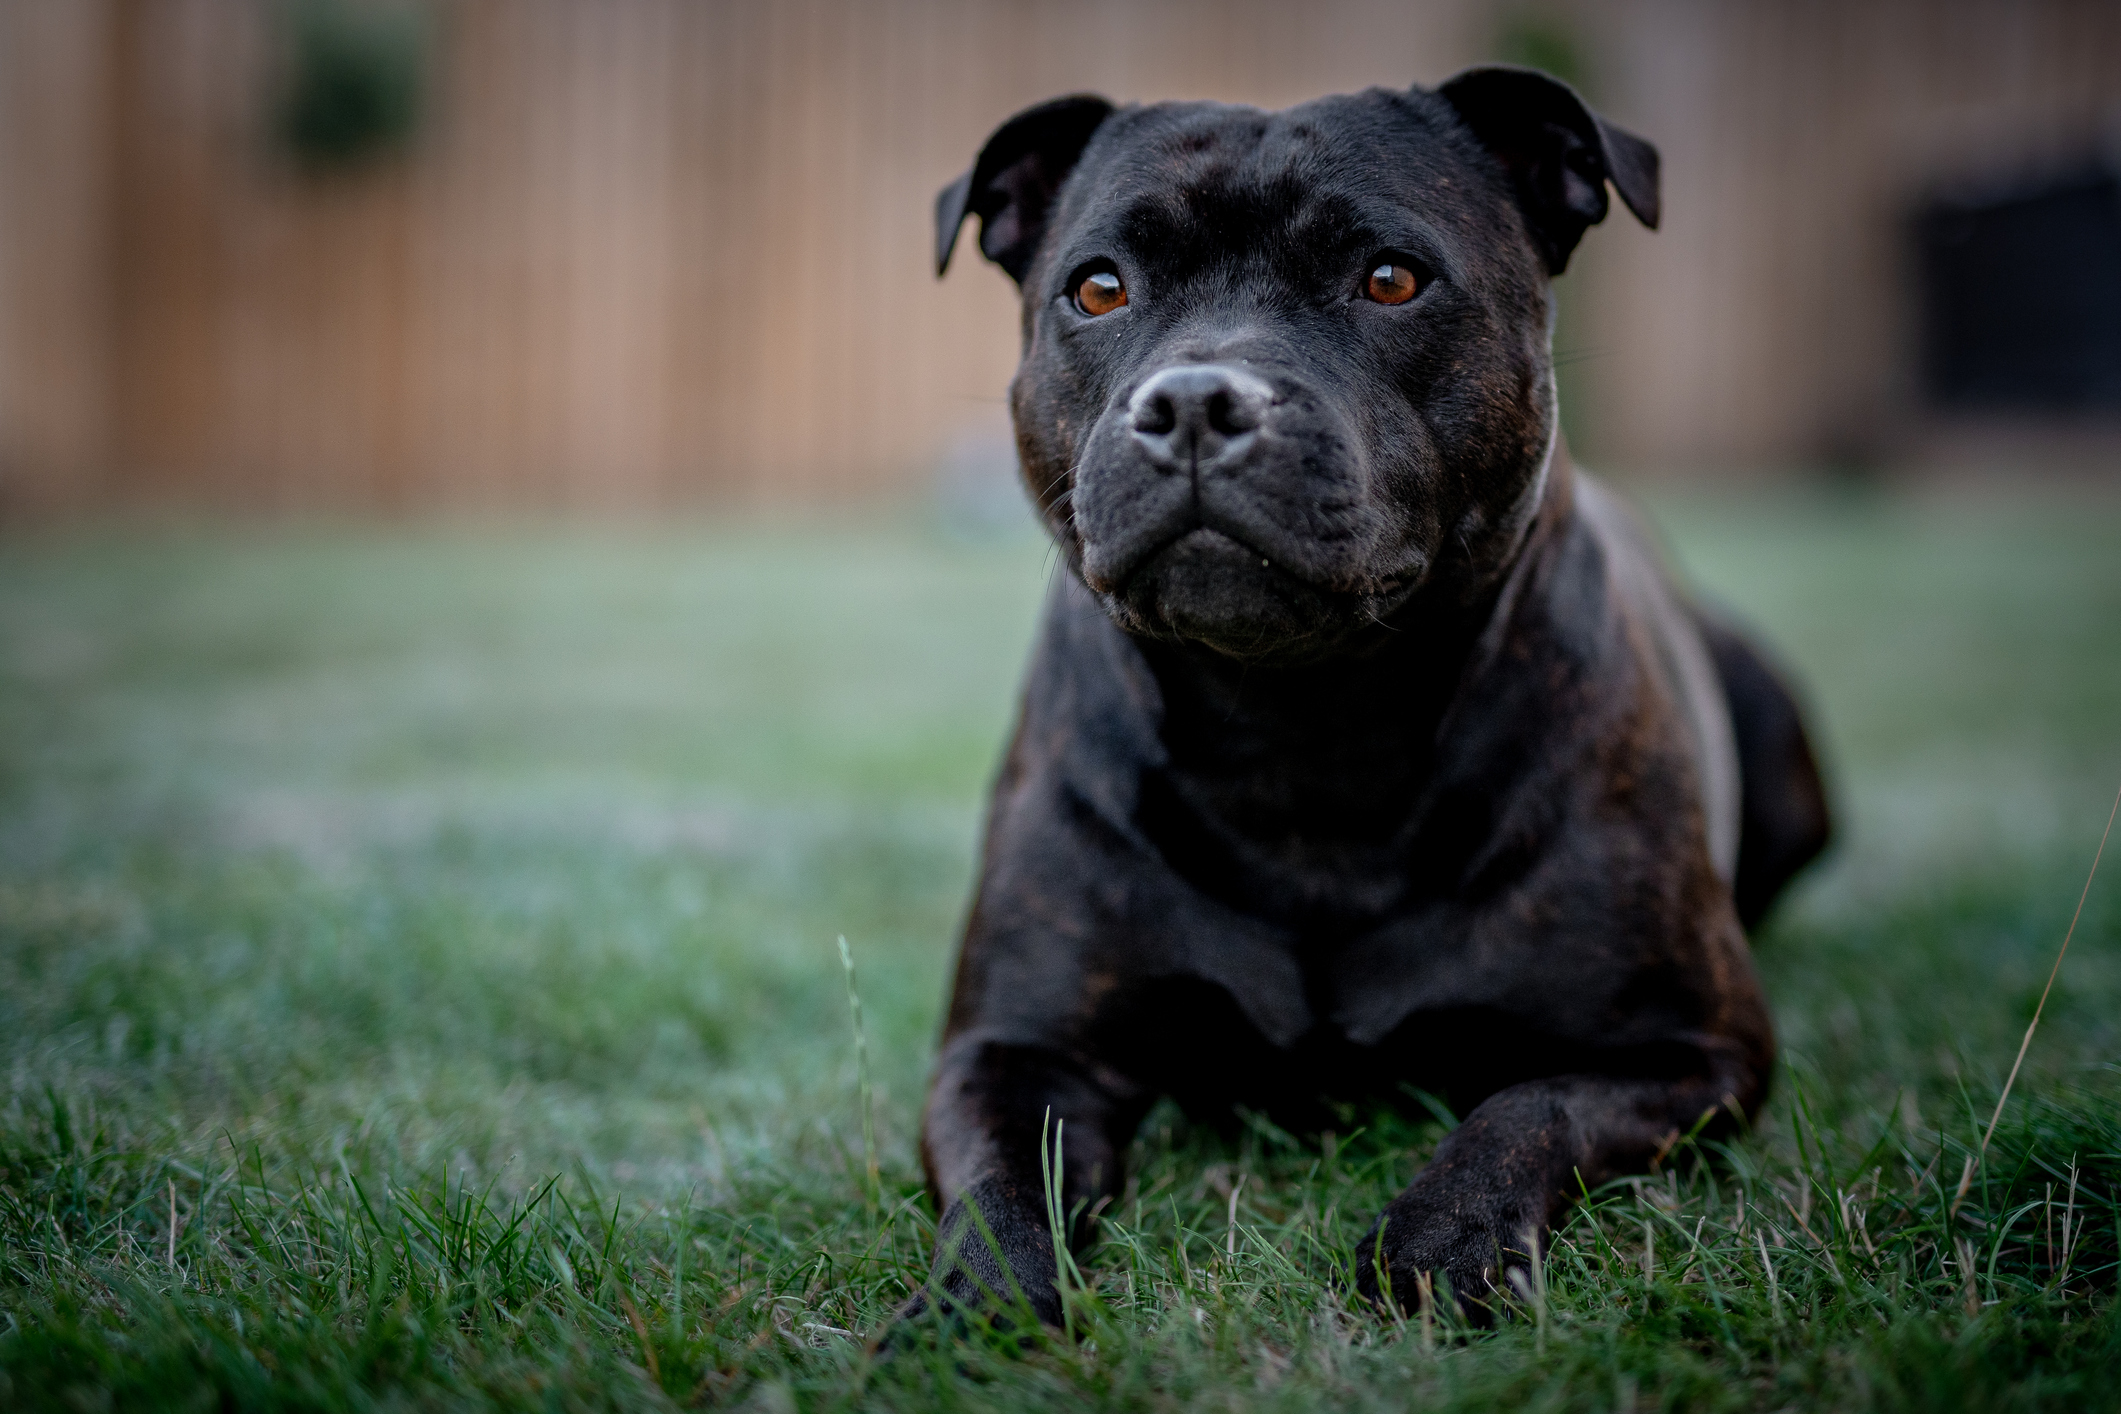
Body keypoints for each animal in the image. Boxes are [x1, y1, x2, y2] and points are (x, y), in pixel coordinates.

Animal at [907, 63, 1824, 1331]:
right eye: (1097, 289)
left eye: (1390, 278)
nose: (1195, 401)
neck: (1302, 726)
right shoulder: (1011, 1049)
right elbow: (1002, 1186)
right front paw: (971, 1308)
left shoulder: (1692, 1049)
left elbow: (1526, 1105)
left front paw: (1445, 1240)